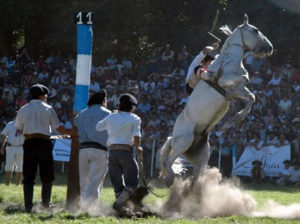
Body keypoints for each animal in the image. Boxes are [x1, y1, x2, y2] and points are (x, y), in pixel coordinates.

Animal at [161, 14, 274, 186]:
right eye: (255, 30)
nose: (269, 47)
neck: (228, 61)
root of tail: (172, 138)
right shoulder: (227, 84)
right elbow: (244, 85)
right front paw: (237, 117)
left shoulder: (235, 91)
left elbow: (251, 97)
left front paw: (237, 118)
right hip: (183, 142)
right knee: (168, 162)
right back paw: (170, 179)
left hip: (201, 156)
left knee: (194, 174)